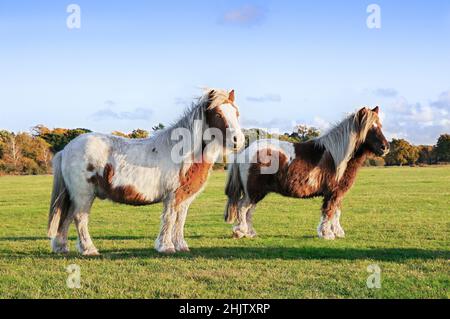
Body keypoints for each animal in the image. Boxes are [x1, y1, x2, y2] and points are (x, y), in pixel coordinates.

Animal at [48, 89, 244, 256]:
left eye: (236, 113)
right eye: (218, 114)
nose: (238, 140)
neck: (182, 152)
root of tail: (66, 149)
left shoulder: (183, 198)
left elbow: (180, 220)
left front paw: (181, 245)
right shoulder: (172, 197)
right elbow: (169, 219)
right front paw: (166, 246)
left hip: (73, 196)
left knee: (66, 217)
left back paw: (61, 247)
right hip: (84, 195)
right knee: (79, 218)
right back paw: (89, 249)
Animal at [225, 107, 390, 240]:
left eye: (380, 126)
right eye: (370, 128)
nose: (385, 147)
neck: (337, 157)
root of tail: (245, 151)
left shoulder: (338, 193)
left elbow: (336, 212)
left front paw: (337, 232)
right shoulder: (332, 193)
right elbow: (328, 212)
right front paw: (327, 234)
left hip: (257, 193)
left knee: (249, 211)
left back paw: (250, 233)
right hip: (253, 192)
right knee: (242, 208)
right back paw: (240, 232)